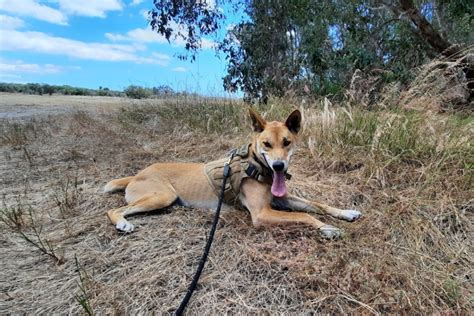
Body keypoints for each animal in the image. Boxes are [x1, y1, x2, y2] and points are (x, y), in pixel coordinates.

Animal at [105, 109, 362, 239]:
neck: (257, 166)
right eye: (266, 144)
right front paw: (327, 228)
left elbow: (317, 204)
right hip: (162, 196)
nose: (279, 166)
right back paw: (123, 223)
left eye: (287, 142)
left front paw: (345, 212)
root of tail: (137, 174)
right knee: (113, 210)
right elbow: (306, 215)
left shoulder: (282, 199)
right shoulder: (261, 214)